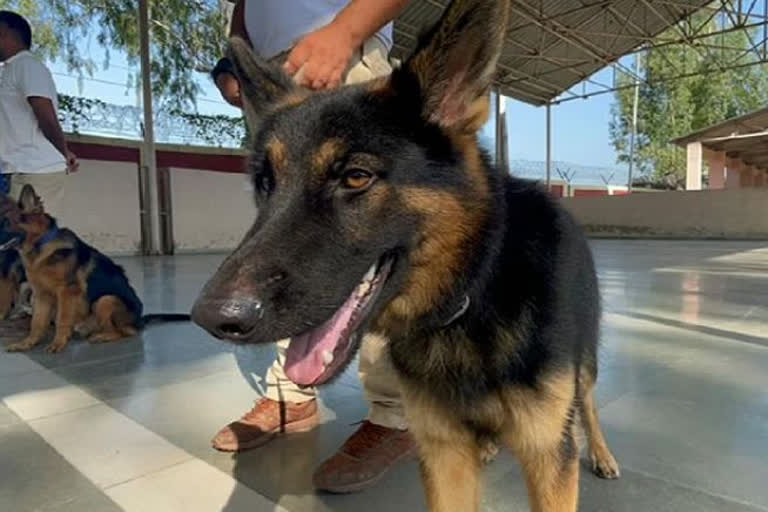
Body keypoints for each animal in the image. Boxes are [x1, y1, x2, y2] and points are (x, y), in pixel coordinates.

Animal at [0, 186, 189, 354]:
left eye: (6, 223)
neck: (42, 245)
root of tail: (140, 320)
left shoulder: (67, 293)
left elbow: (62, 319)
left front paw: (58, 343)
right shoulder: (41, 296)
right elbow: (37, 323)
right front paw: (26, 344)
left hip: (105, 300)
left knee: (125, 332)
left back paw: (102, 336)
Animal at [190, 0, 616, 510]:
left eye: (355, 177)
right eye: (266, 184)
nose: (212, 317)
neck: (471, 297)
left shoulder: (547, 455)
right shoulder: (445, 456)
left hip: (583, 368)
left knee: (588, 402)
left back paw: (603, 452)